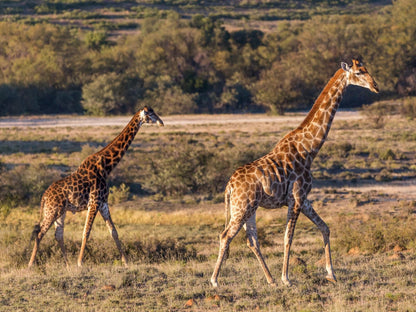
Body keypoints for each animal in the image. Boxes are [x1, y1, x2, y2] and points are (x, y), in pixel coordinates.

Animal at [27, 106, 163, 266]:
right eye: (151, 114)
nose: (161, 122)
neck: (107, 166)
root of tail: (44, 197)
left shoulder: (103, 203)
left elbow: (113, 232)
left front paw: (126, 262)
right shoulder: (94, 202)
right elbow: (86, 231)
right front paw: (80, 263)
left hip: (61, 211)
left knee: (58, 234)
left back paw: (67, 265)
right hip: (53, 210)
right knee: (40, 232)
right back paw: (30, 264)